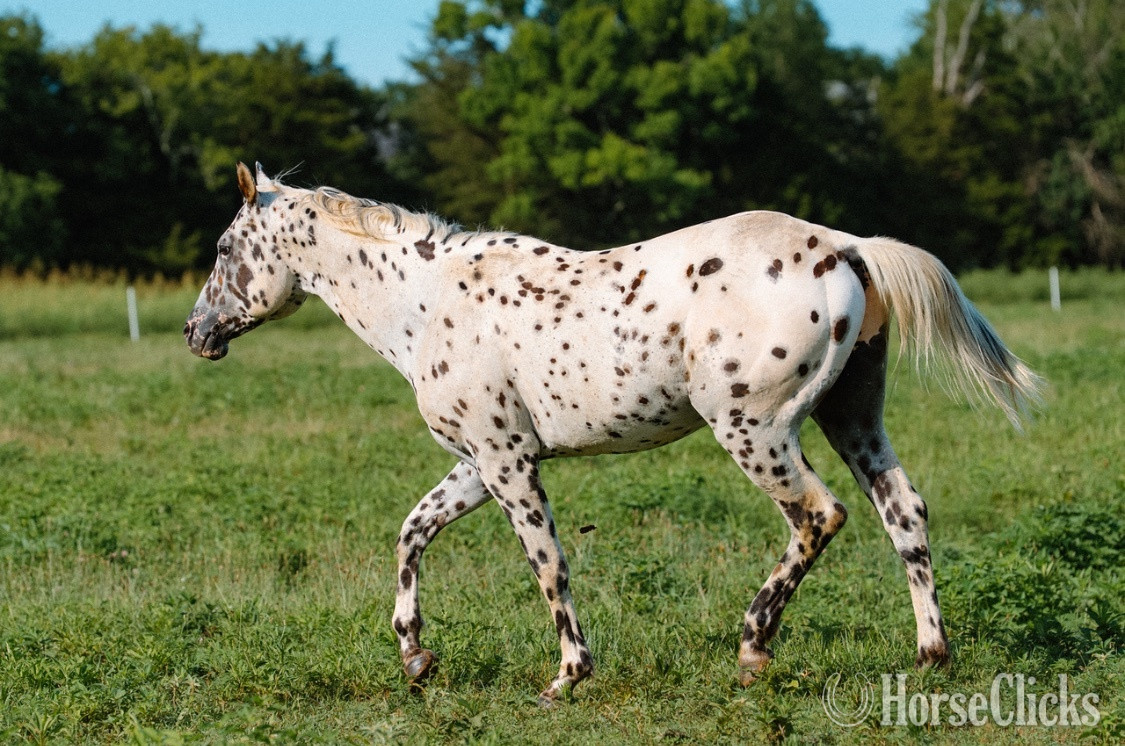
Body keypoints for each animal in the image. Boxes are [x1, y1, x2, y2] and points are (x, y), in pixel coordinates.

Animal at [185, 163, 1041, 705]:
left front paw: (566, 676)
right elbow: (411, 533)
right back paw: (929, 656)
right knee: (904, 513)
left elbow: (547, 565)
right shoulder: (477, 463)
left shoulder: (507, 463)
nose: (197, 333)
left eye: (224, 249)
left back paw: (753, 649)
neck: (425, 304)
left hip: (755, 429)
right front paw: (416, 658)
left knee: (817, 516)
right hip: (850, 416)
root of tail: (845, 249)